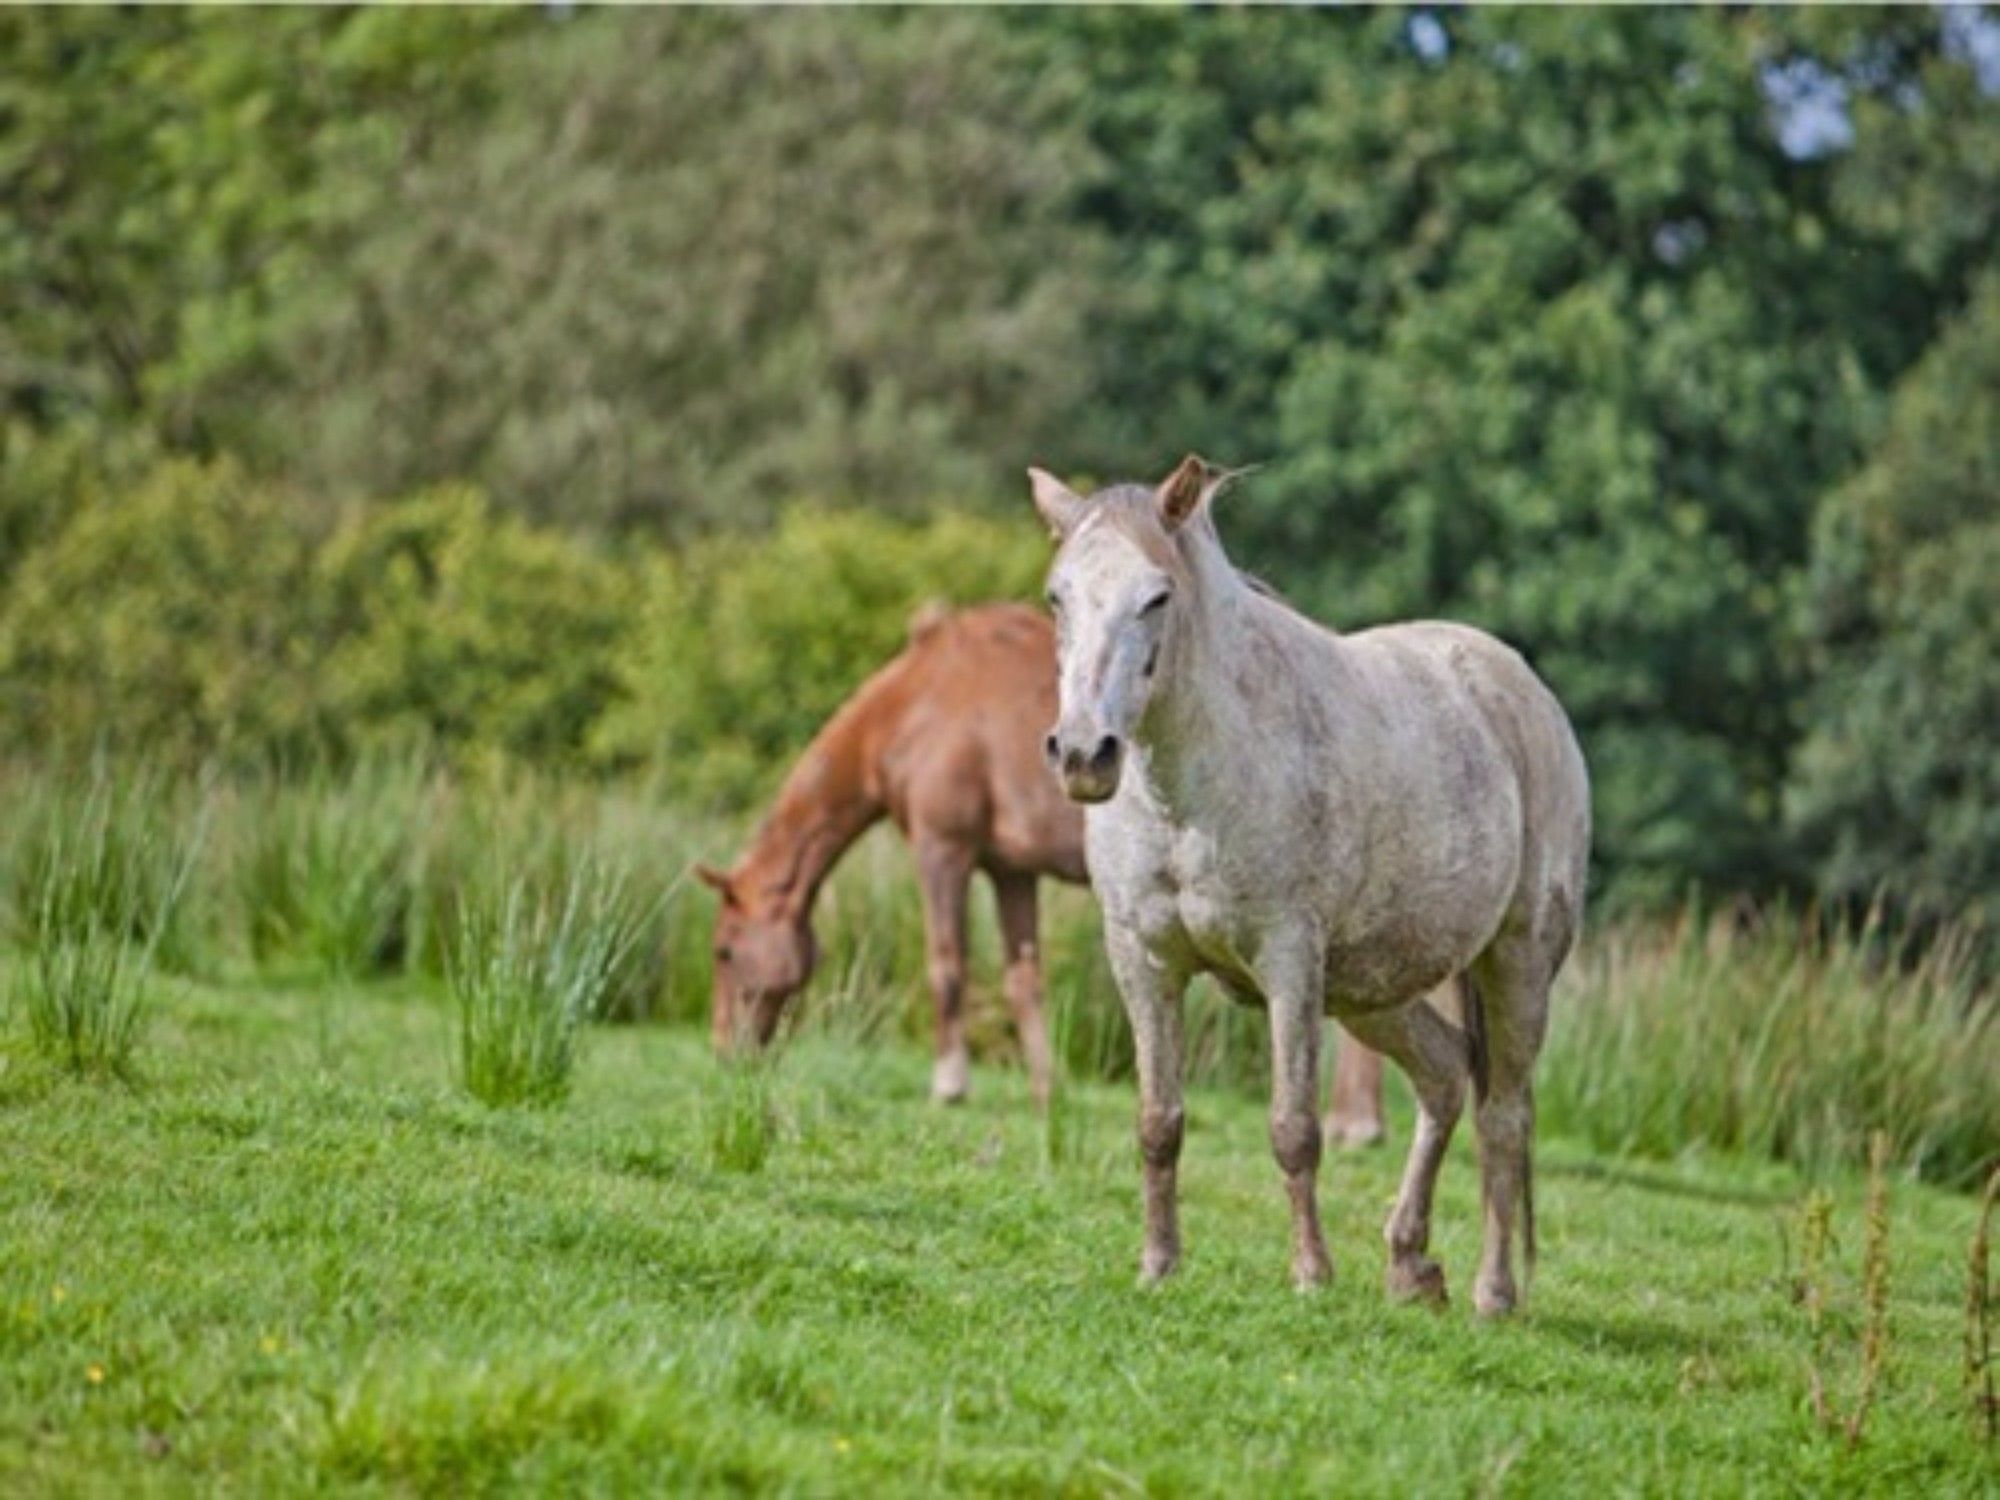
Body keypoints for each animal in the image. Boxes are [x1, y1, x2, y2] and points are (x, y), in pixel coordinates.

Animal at [704, 596, 1392, 1128]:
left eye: (724, 951)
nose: (723, 1050)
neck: (915, 705)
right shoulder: (1011, 870)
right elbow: (1022, 979)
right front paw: (1046, 1089)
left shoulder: (942, 849)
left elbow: (947, 964)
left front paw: (950, 1083)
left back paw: (1354, 1124)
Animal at [1040, 458, 1584, 1312]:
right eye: (1057, 596)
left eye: (1157, 597)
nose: (1083, 753)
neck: (1192, 792)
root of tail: (1521, 687)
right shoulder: (1144, 960)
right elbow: (1158, 1122)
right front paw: (1158, 1264)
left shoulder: (1289, 962)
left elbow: (1294, 1129)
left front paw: (1311, 1274)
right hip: (1371, 991)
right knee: (1444, 1075)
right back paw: (1409, 1265)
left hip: (1517, 964)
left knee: (1505, 1117)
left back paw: (1493, 1294)